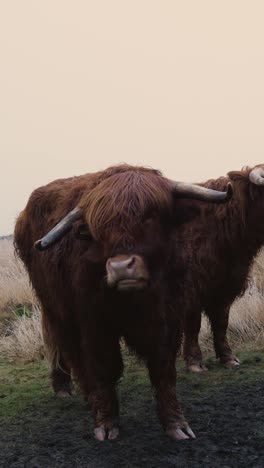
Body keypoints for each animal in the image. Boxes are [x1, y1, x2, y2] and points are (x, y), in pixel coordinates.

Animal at [182, 165, 264, 372]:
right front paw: (195, 362)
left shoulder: (226, 285)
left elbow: (221, 323)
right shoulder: (191, 288)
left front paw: (228, 358)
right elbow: (193, 324)